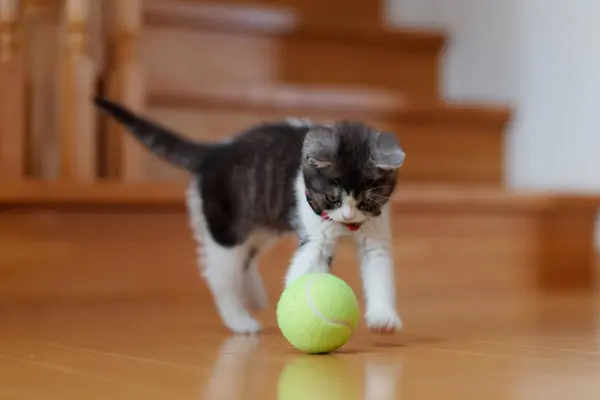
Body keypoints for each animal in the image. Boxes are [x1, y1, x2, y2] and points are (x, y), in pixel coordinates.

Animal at [96, 97, 406, 334]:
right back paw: (239, 320)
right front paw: (294, 302)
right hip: (226, 227)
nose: (348, 215)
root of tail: (215, 151)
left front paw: (383, 316)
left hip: (260, 226)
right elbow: (305, 264)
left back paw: (253, 294)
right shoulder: (317, 236)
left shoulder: (375, 235)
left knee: (245, 258)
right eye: (332, 198)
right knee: (219, 273)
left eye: (366, 201)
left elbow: (379, 271)